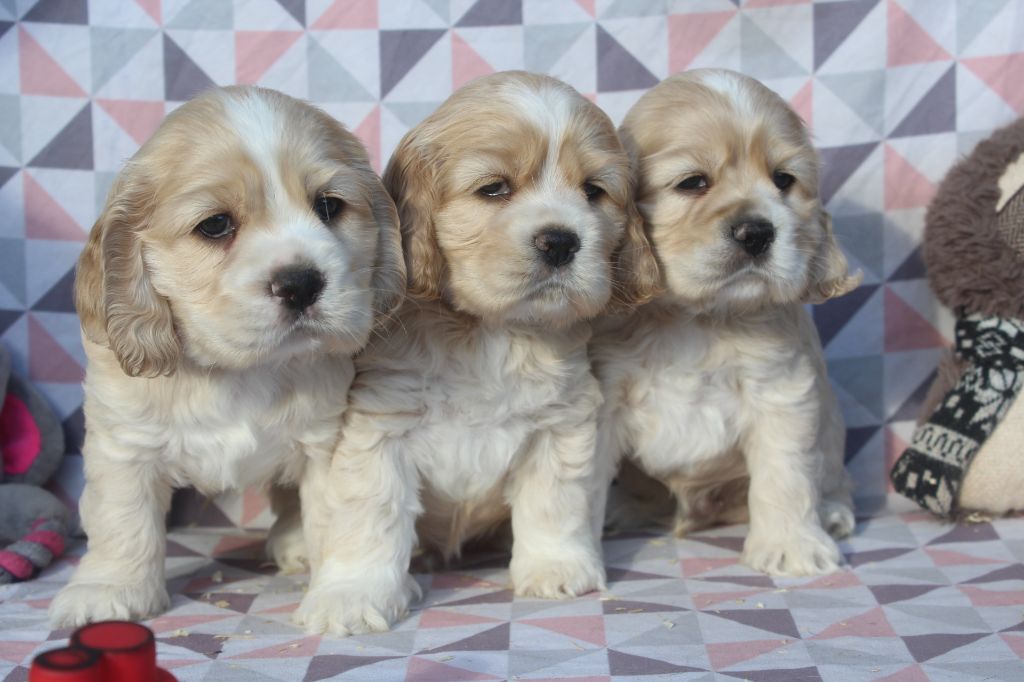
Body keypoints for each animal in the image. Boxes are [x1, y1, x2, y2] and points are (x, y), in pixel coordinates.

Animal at [49, 86, 403, 626]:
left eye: (329, 206)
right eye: (215, 225)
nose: (301, 283)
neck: (239, 370)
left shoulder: (326, 442)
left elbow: (342, 516)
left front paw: (345, 593)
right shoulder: (124, 443)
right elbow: (121, 519)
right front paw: (107, 588)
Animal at [296, 70, 659, 630]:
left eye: (593, 191)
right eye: (494, 188)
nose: (561, 241)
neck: (490, 333)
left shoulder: (562, 421)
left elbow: (555, 501)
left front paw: (555, 567)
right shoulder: (380, 425)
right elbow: (370, 514)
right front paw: (352, 596)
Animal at [593, 69, 864, 573]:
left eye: (784, 180)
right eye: (693, 182)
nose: (757, 232)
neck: (697, 317)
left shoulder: (781, 390)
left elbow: (785, 473)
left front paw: (792, 545)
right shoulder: (604, 399)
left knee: (835, 481)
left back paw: (833, 513)